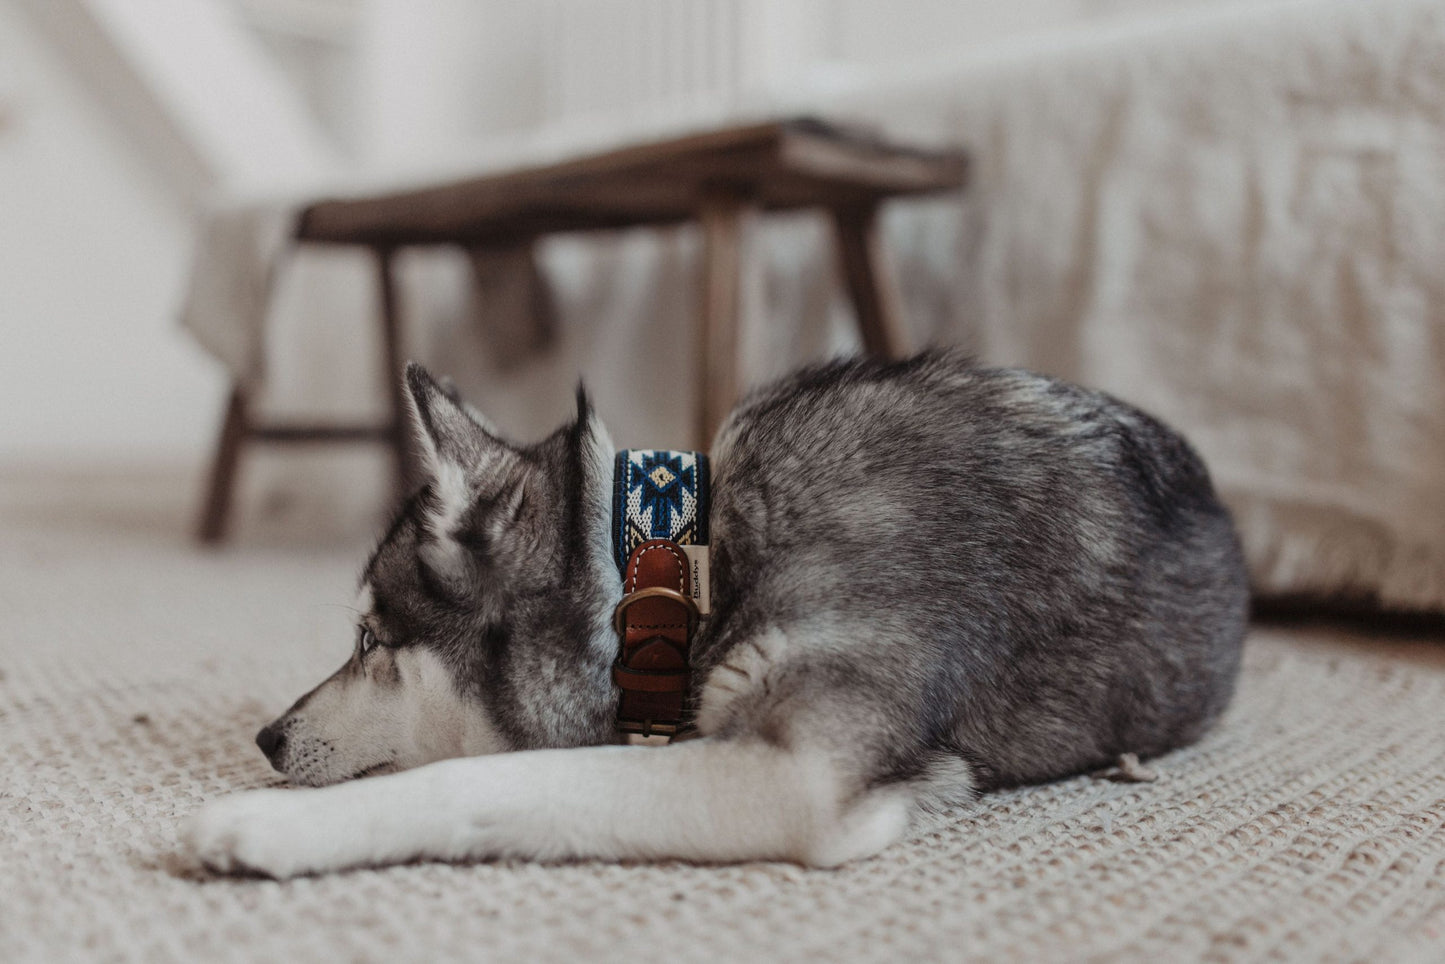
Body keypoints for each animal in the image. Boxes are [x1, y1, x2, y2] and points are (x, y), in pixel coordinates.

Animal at [186, 351, 1248, 878]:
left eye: (370, 640)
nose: (267, 737)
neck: (685, 565)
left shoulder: (791, 776)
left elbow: (495, 782)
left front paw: (266, 827)